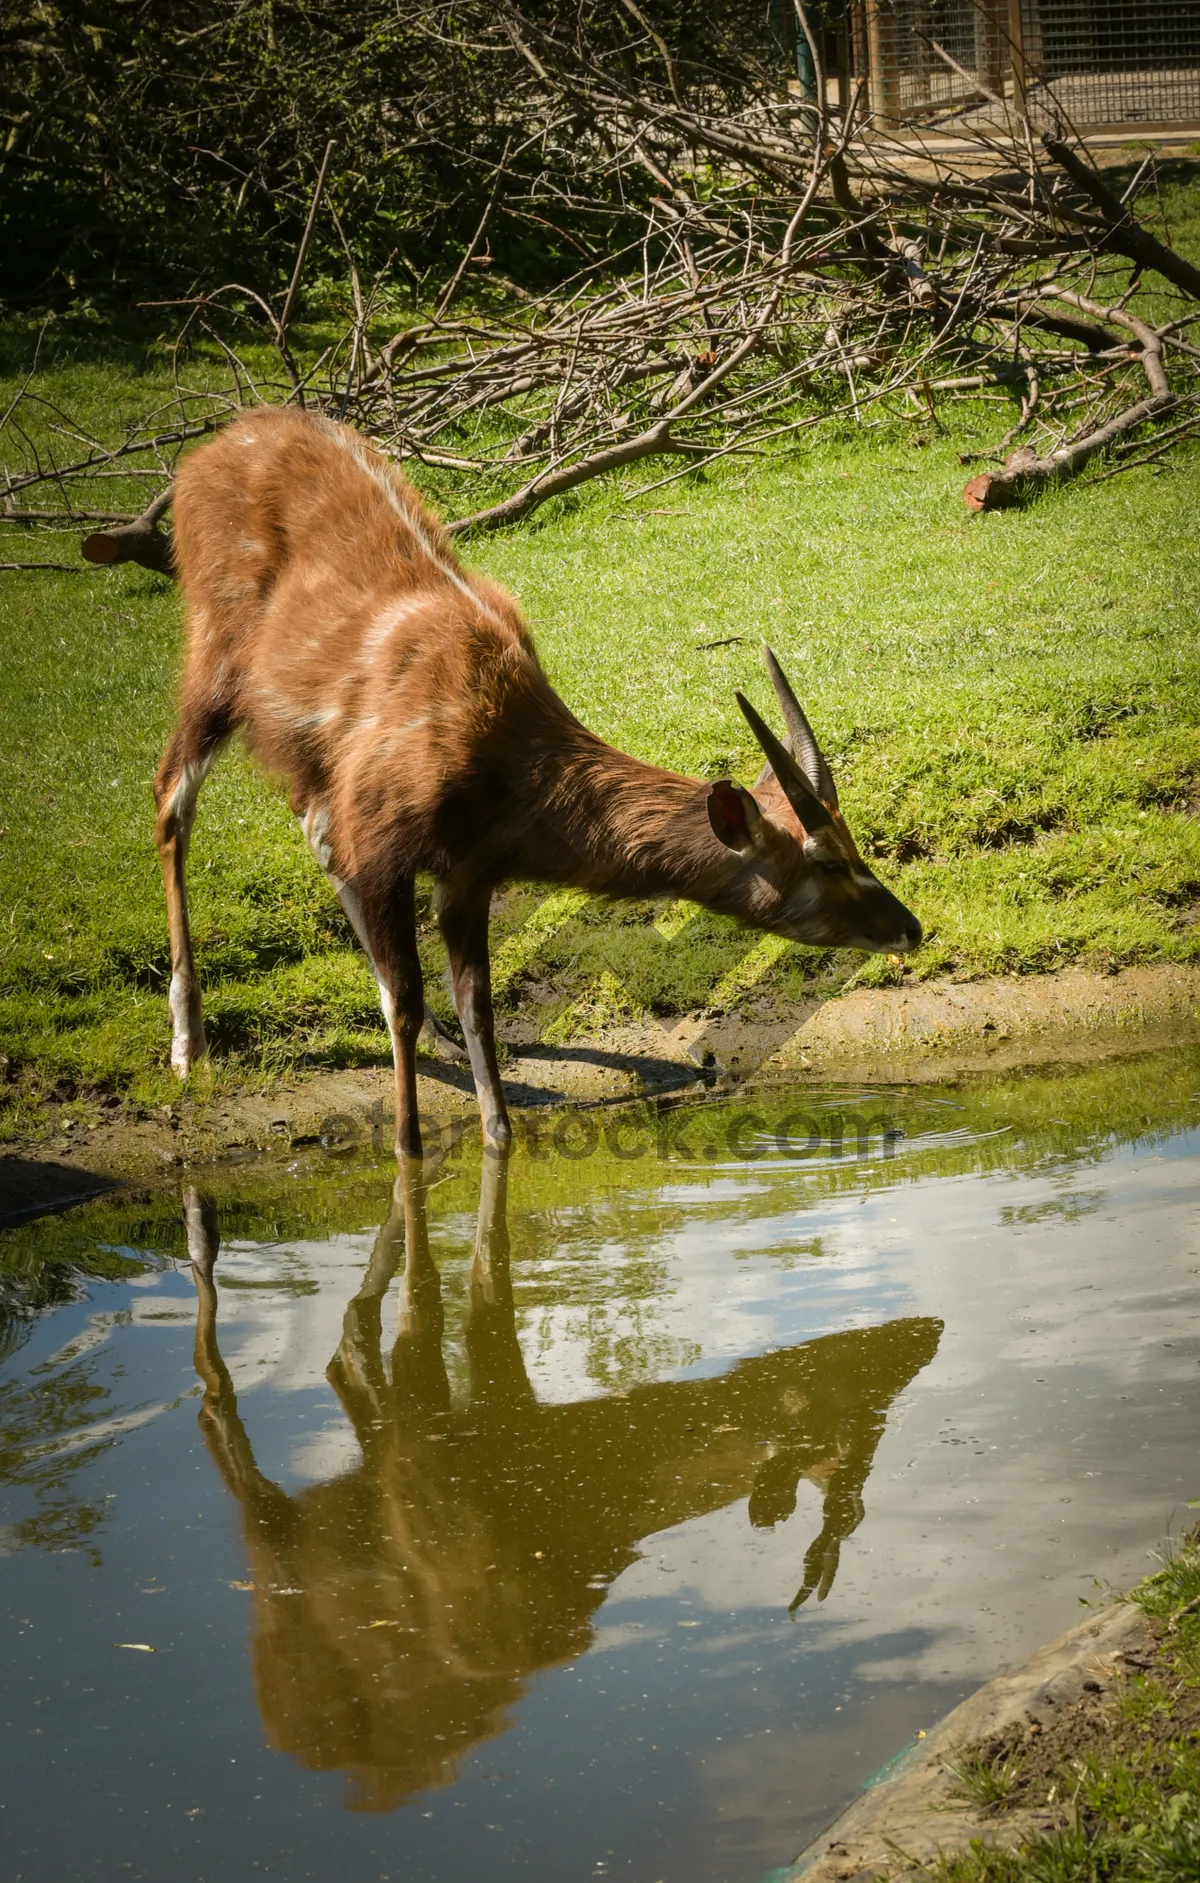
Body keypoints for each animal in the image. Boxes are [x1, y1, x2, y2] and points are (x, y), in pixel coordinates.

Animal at [151, 404, 915, 1152]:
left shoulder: (465, 875)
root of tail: (207, 454)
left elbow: (477, 1009)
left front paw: (496, 1132)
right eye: (829, 860)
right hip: (214, 665)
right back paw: (188, 1046)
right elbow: (406, 1005)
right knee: (170, 799)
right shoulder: (389, 843)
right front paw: (407, 1146)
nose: (910, 927)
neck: (499, 751)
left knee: (312, 829)